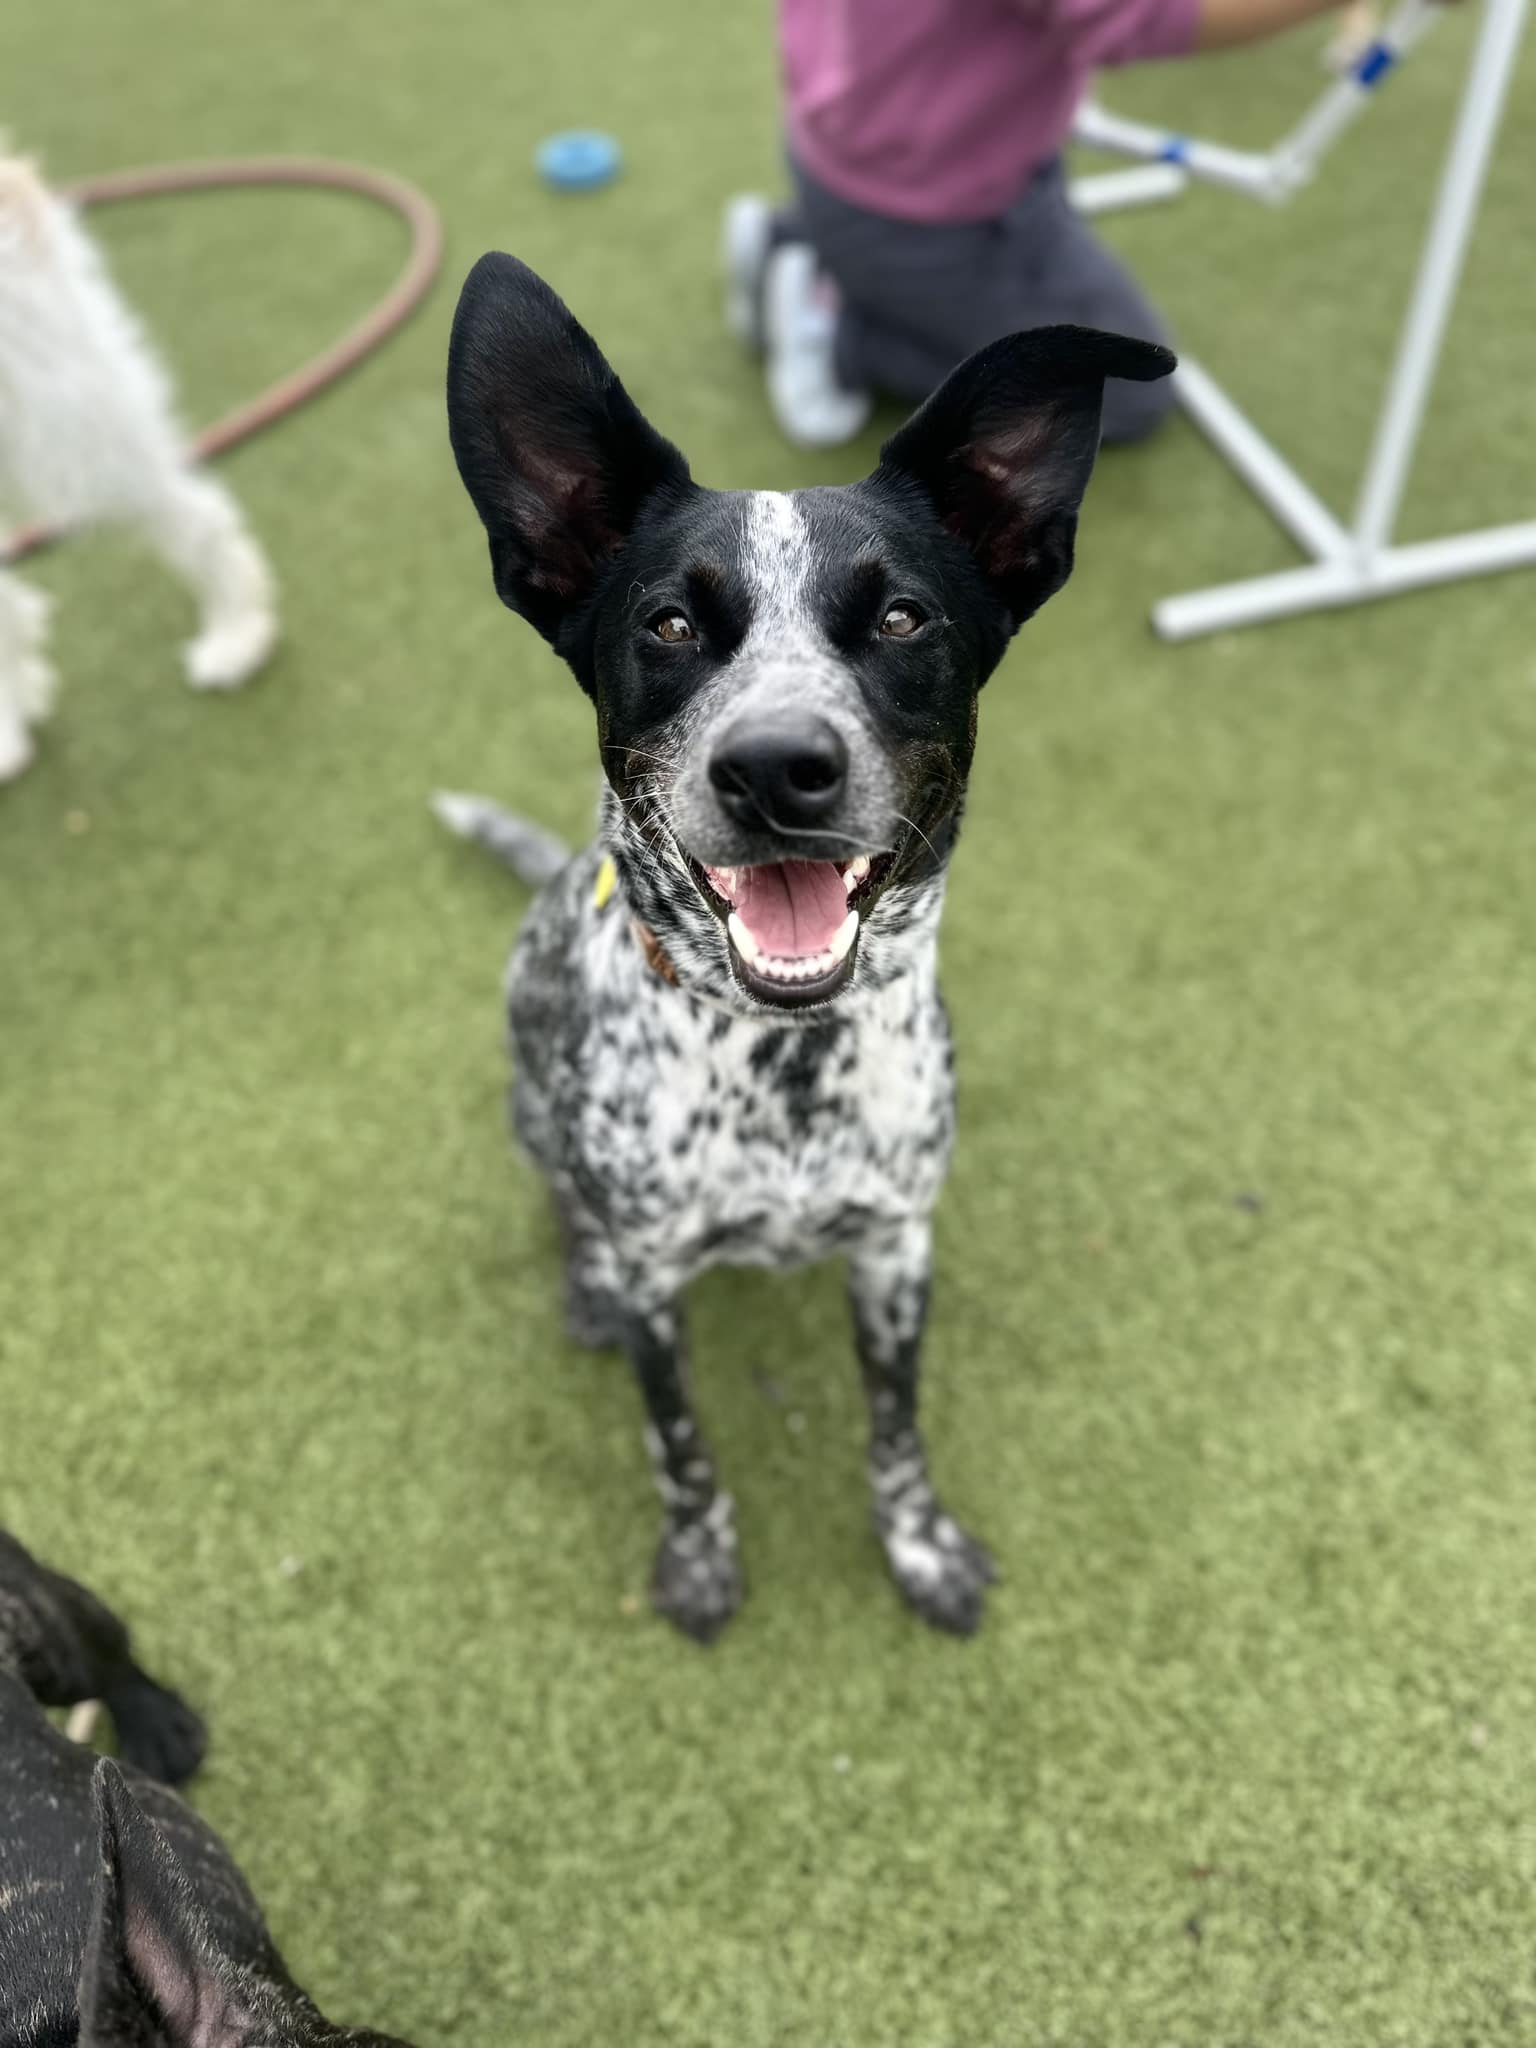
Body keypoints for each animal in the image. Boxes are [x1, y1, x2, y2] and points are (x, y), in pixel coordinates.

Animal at [444, 251, 1179, 1646]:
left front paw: (920, 1545)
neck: (778, 1067)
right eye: (671, 626)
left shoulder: (895, 1251)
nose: (777, 766)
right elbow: (680, 1443)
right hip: (526, 1100)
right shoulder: (661, 1280)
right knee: (562, 1199)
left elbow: (896, 1428)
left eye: (900, 616)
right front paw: (698, 1558)